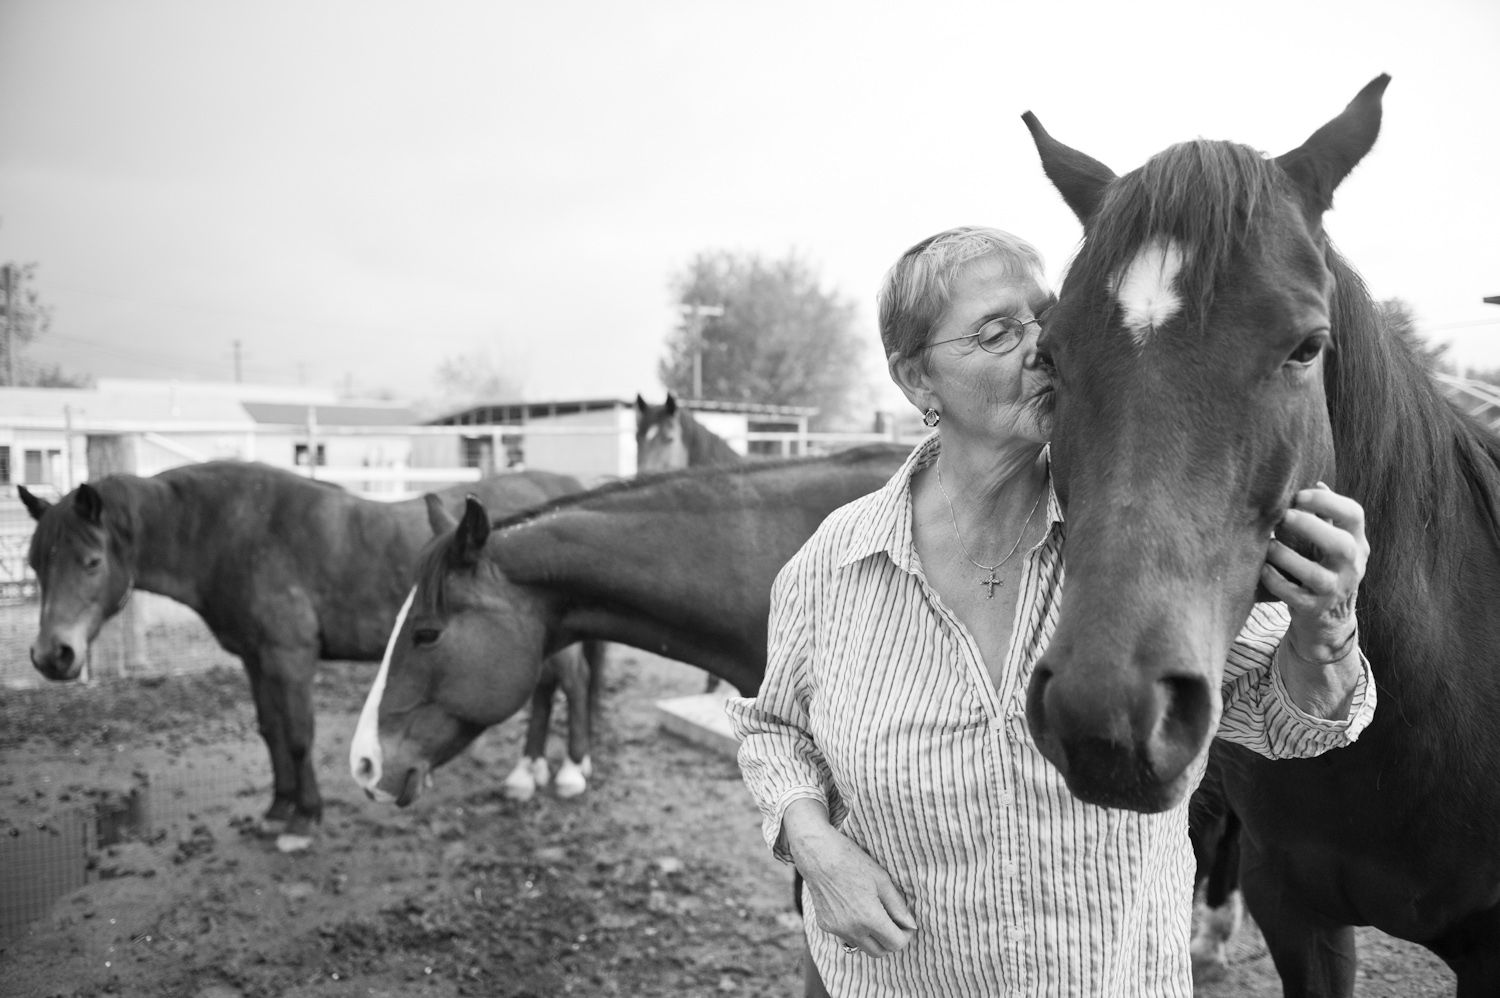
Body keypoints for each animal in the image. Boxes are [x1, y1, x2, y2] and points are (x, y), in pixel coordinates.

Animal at [24, 462, 585, 852]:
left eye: (92, 562)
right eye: (34, 564)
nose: (53, 655)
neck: (231, 532)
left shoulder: (289, 657)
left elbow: (296, 736)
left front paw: (303, 820)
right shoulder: (255, 659)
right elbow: (271, 731)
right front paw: (278, 808)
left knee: (572, 684)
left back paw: (569, 774)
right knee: (545, 689)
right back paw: (526, 776)